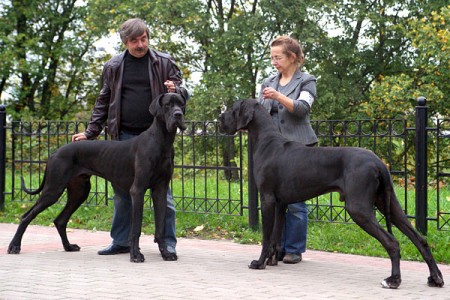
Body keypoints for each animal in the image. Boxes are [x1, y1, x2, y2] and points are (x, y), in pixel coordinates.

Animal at [7, 92, 186, 262]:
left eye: (181, 104)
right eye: (168, 105)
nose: (178, 114)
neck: (162, 141)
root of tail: (55, 152)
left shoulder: (160, 190)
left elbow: (161, 227)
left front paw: (166, 254)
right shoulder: (138, 190)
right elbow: (136, 228)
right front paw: (135, 255)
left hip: (79, 191)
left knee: (60, 220)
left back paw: (68, 246)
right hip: (53, 189)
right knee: (26, 216)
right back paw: (14, 246)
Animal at [220, 99, 444, 290]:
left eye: (233, 109)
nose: (220, 117)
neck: (267, 140)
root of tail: (378, 162)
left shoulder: (267, 199)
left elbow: (266, 237)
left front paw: (259, 262)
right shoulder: (281, 203)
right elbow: (275, 236)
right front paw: (272, 261)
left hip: (358, 208)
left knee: (392, 242)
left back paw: (393, 280)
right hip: (389, 204)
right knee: (420, 239)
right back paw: (436, 278)